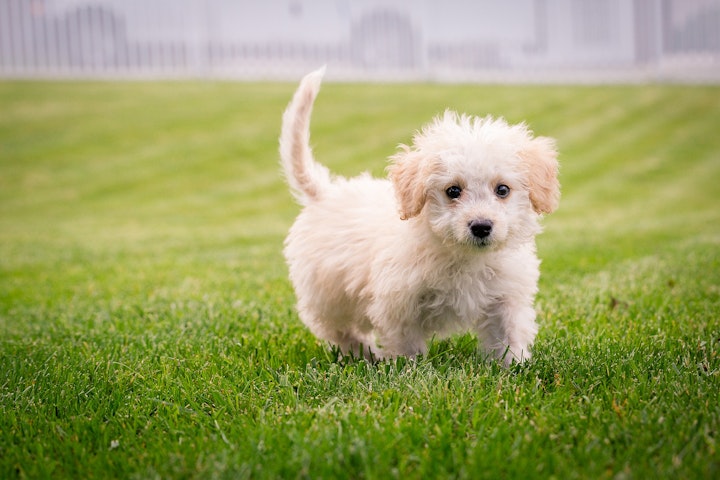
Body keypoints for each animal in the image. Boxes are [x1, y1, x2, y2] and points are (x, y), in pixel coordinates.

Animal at [278, 67, 560, 366]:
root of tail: (325, 192)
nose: (481, 226)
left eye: (502, 190)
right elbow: (407, 345)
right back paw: (366, 355)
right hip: (328, 295)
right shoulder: (398, 304)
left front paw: (514, 366)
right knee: (339, 330)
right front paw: (408, 369)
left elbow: (508, 336)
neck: (463, 256)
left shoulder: (506, 298)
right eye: (453, 191)